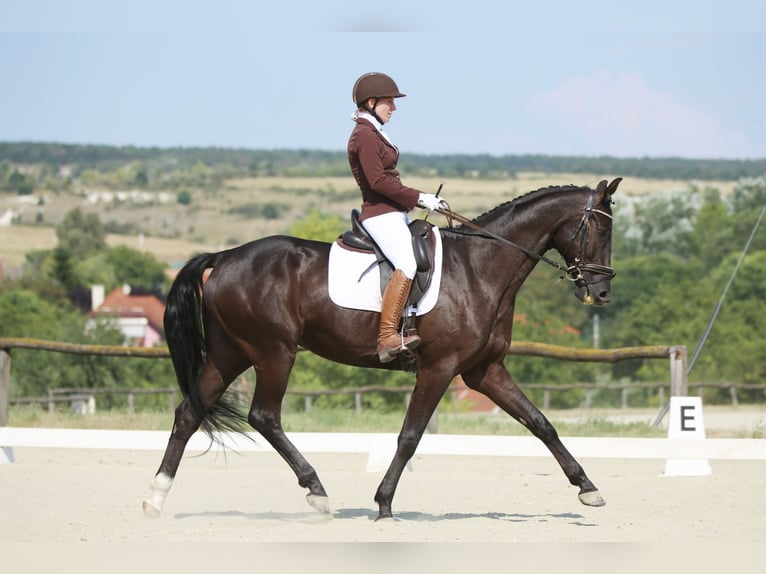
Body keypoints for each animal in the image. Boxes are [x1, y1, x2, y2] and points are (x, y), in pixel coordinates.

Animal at [142, 177, 624, 520]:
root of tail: (222, 258)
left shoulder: (484, 370)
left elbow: (541, 424)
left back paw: (155, 498)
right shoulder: (439, 367)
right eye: (601, 228)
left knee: (189, 413)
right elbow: (410, 436)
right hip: (274, 352)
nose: (602, 294)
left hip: (230, 353)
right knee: (264, 416)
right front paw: (385, 503)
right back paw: (317, 493)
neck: (480, 269)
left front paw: (589, 489)